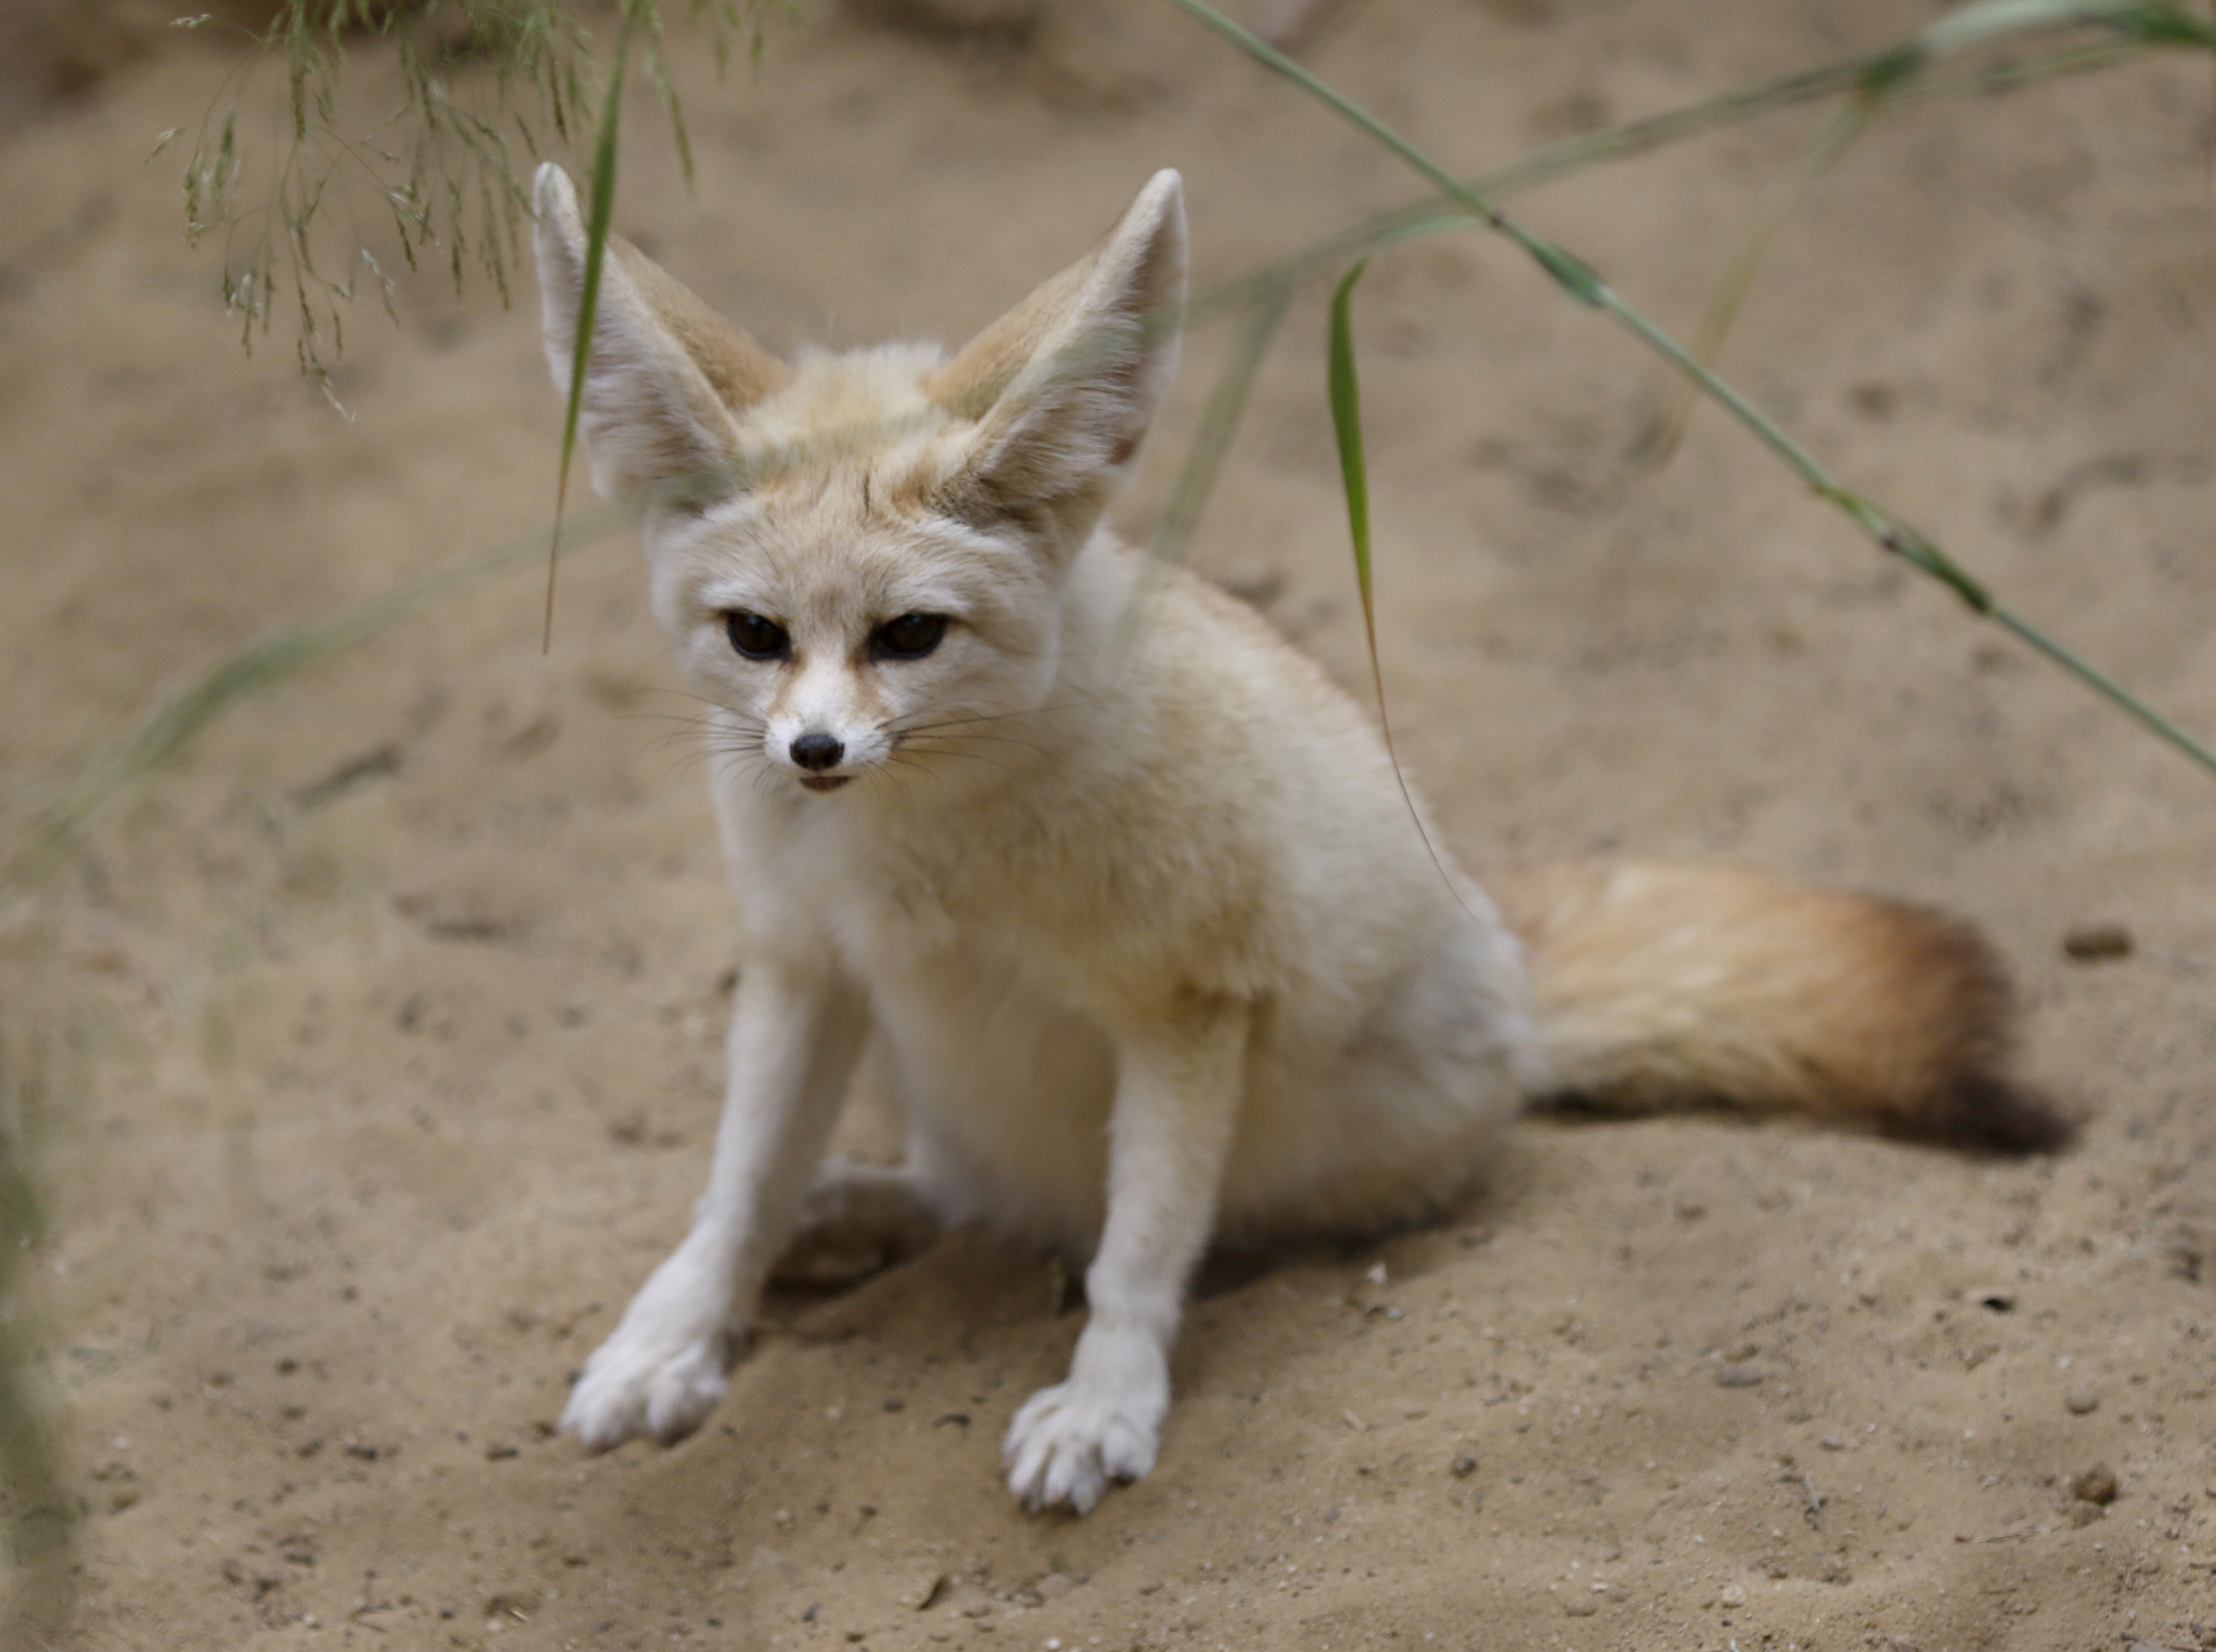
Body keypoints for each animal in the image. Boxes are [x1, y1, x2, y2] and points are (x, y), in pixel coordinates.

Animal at [527, 163, 2065, 1506]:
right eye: (756, 637)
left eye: (910, 636)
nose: (814, 754)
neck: (915, 855)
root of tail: (1517, 983)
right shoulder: (807, 964)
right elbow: (736, 1188)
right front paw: (674, 1336)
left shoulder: (1187, 999)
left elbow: (1140, 1248)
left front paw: (1106, 1401)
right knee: (961, 1195)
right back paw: (853, 1212)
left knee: (1124, 1218)